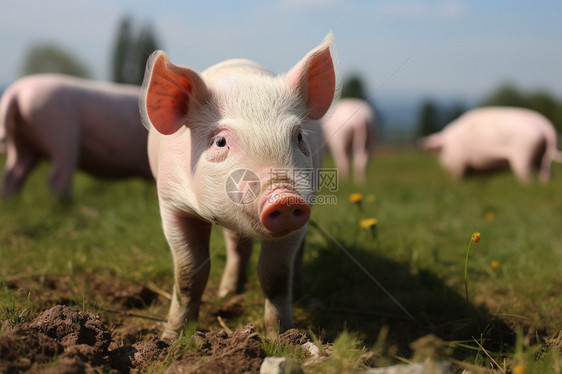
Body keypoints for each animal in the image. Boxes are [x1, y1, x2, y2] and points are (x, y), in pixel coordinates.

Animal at [0, 74, 153, 200]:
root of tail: (16, 90)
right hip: (61, 134)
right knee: (57, 175)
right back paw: (65, 204)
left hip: (21, 141)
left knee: (13, 172)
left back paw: (11, 202)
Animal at [138, 35, 334, 338]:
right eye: (220, 142)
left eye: (299, 136)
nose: (284, 197)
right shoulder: (171, 203)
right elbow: (189, 273)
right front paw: (172, 338)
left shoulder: (305, 208)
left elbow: (275, 274)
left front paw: (281, 337)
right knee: (236, 247)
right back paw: (227, 293)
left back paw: (299, 295)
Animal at [420, 106, 560, 183]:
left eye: (442, 152)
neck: (450, 143)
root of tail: (546, 126)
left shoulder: (460, 163)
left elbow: (459, 177)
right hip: (542, 158)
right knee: (547, 174)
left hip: (524, 153)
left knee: (526, 175)